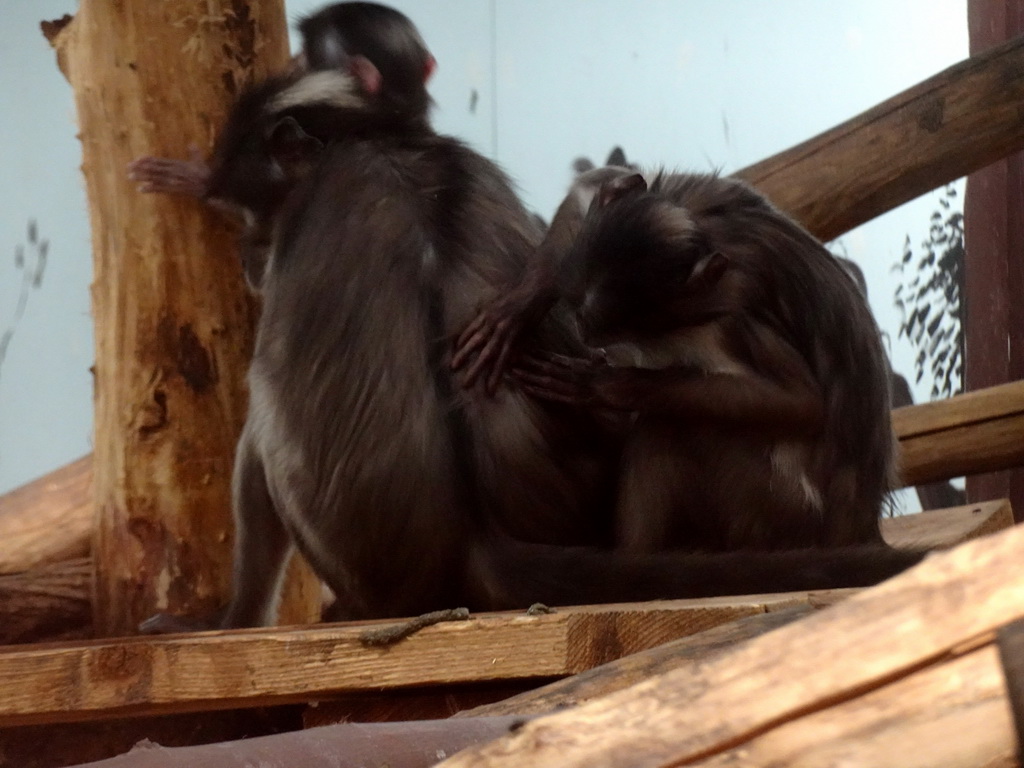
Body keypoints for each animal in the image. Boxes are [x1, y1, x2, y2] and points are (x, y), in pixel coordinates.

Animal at [512, 167, 897, 552]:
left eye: (609, 323)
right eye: (581, 312)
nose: (582, 329)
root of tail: (857, 527)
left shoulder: (725, 315)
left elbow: (802, 402)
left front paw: (610, 386)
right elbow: (600, 180)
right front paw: (526, 298)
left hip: (775, 509)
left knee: (672, 425)